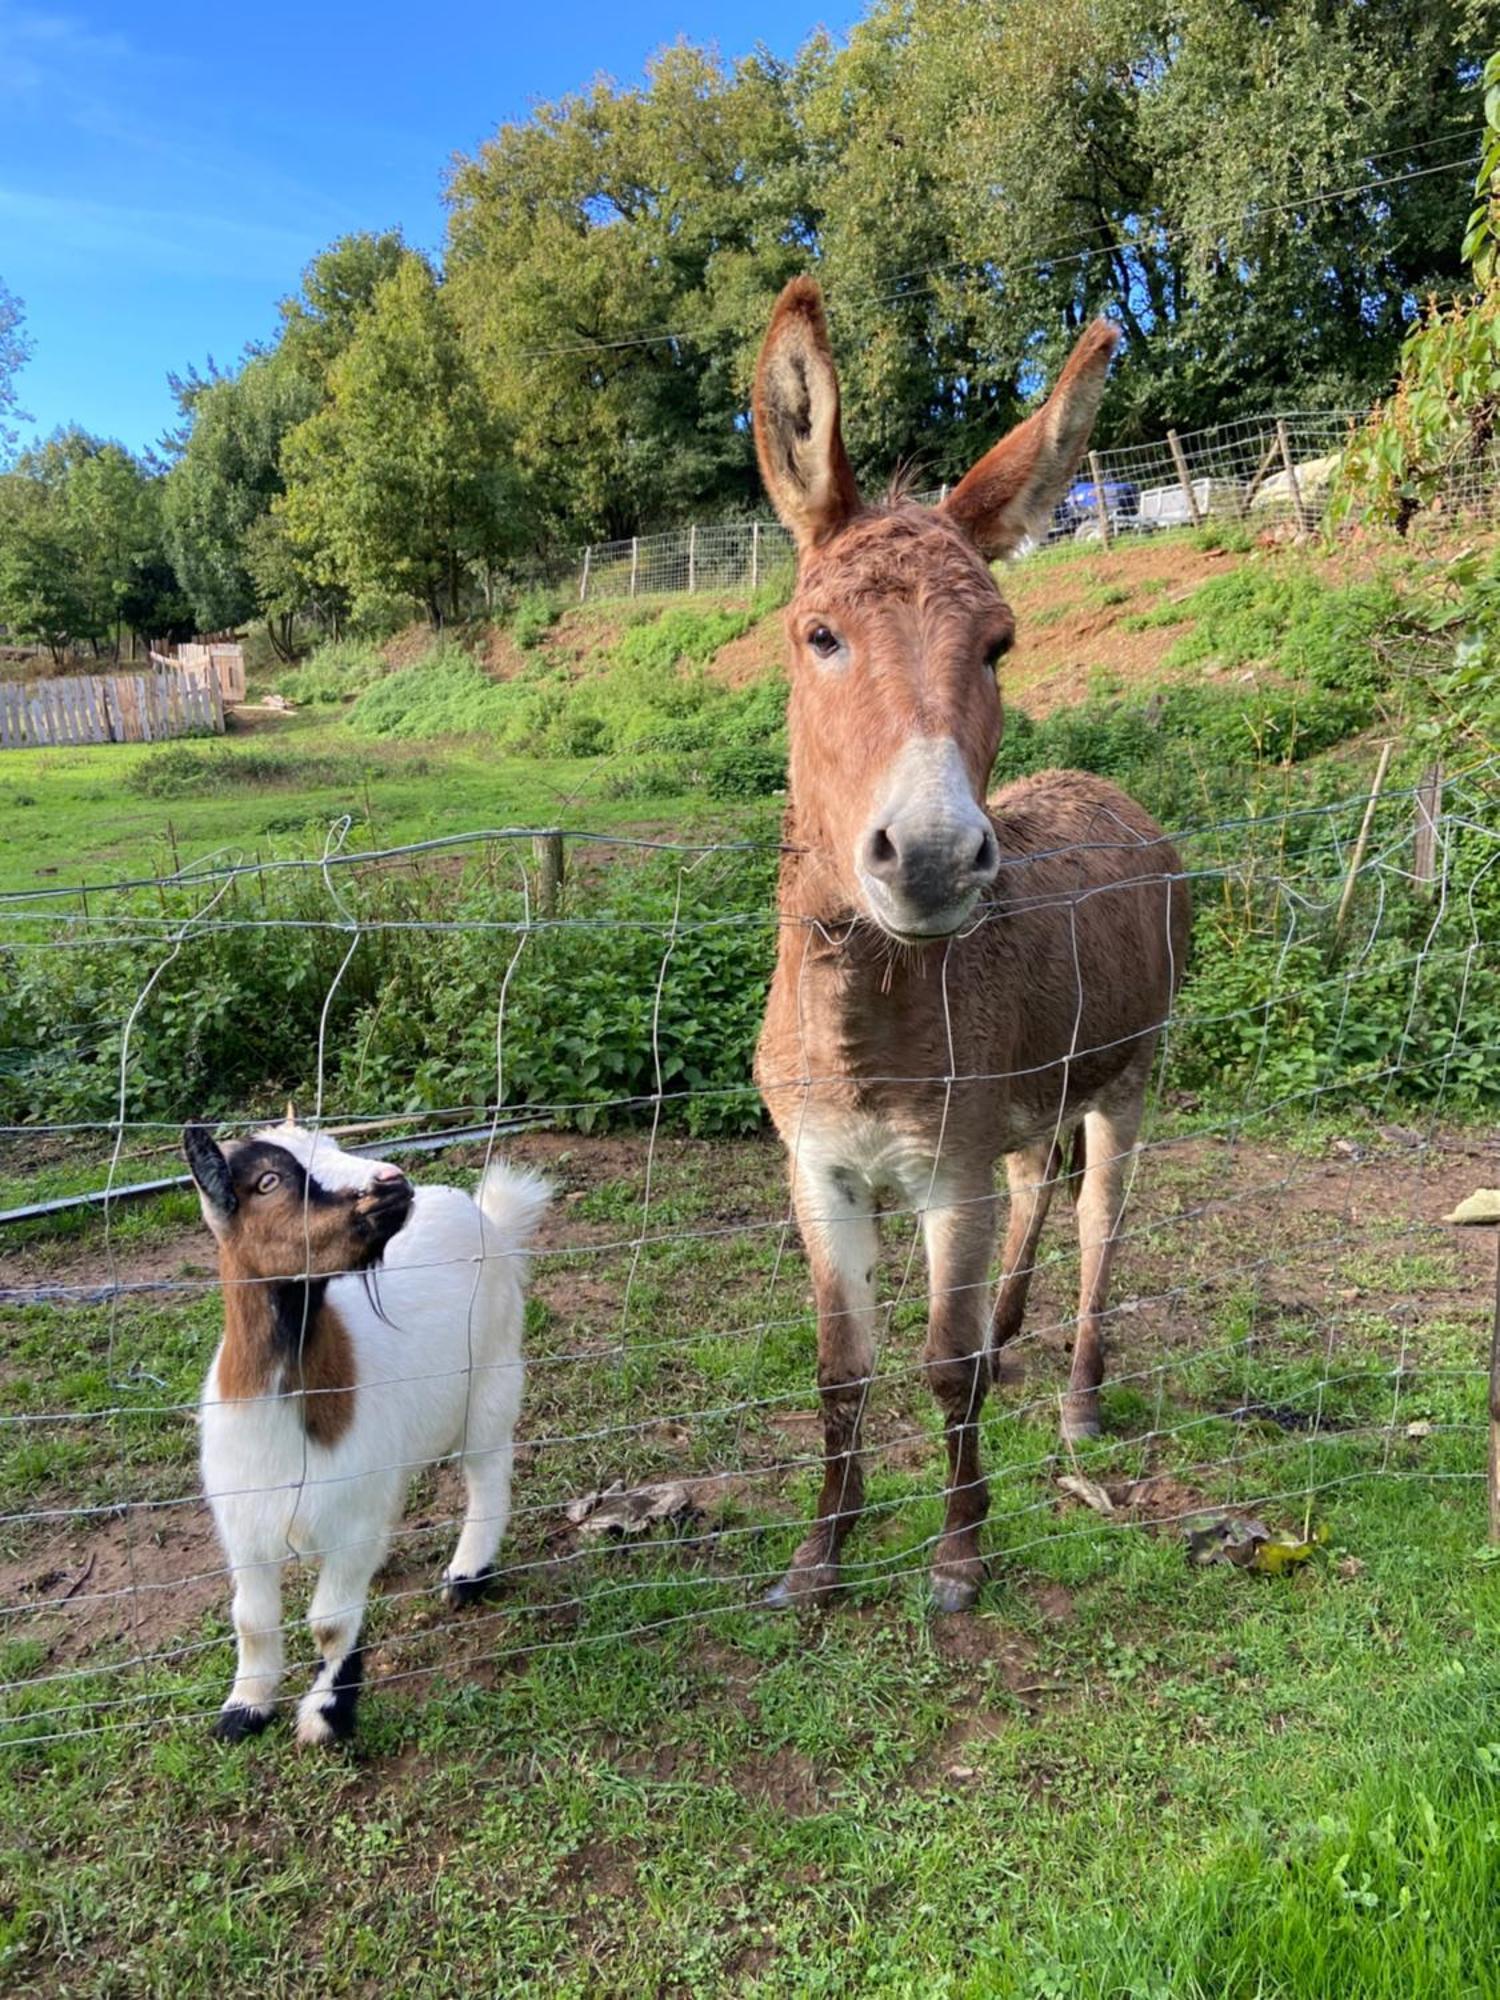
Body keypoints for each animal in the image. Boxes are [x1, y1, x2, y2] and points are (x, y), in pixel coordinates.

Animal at [182, 1128, 548, 1752]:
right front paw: (243, 1710)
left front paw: (326, 1717)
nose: (392, 1181)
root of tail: (477, 1209)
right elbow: (251, 1619)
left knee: (489, 1471)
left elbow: (330, 1624)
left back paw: (467, 1574)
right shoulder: (244, 1524)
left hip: (492, 1378)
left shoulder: (350, 1523)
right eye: (268, 1181)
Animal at [756, 282, 1192, 1616]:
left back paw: (1077, 1399)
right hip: (1028, 1104)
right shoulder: (821, 1170)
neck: (866, 1022)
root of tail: (1111, 788)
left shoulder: (945, 1172)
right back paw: (1013, 1343)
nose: (938, 858)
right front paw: (820, 1554)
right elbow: (839, 1367)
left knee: (1100, 1220)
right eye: (820, 634)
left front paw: (957, 1552)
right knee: (1037, 1185)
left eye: (997, 645)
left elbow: (937, 1366)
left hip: (1131, 1075)